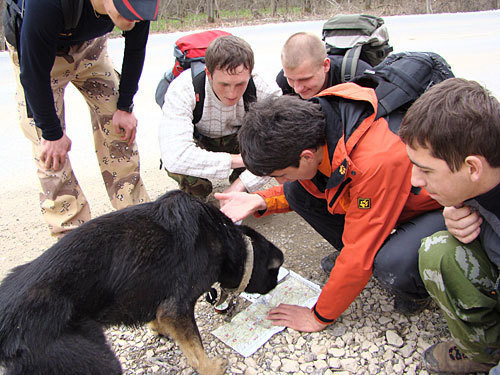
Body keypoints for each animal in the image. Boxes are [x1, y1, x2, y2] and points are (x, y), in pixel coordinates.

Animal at [0, 192, 284, 374]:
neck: (224, 240)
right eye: (275, 272)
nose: (275, 286)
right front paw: (210, 367)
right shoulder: (178, 308)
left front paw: (158, 328)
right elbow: (196, 348)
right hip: (98, 360)